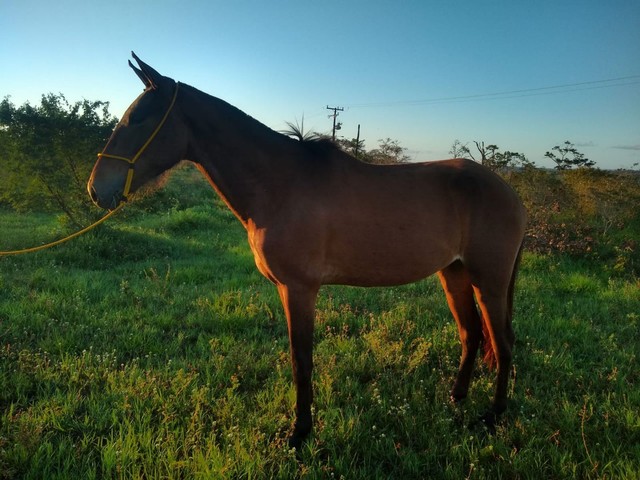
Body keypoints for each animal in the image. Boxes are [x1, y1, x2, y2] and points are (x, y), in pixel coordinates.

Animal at [91, 53, 528, 450]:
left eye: (138, 119)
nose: (97, 189)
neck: (280, 185)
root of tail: (510, 193)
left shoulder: (299, 289)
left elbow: (301, 361)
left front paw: (299, 433)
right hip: (454, 274)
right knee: (472, 334)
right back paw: (457, 398)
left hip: (489, 281)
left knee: (503, 342)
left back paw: (493, 416)